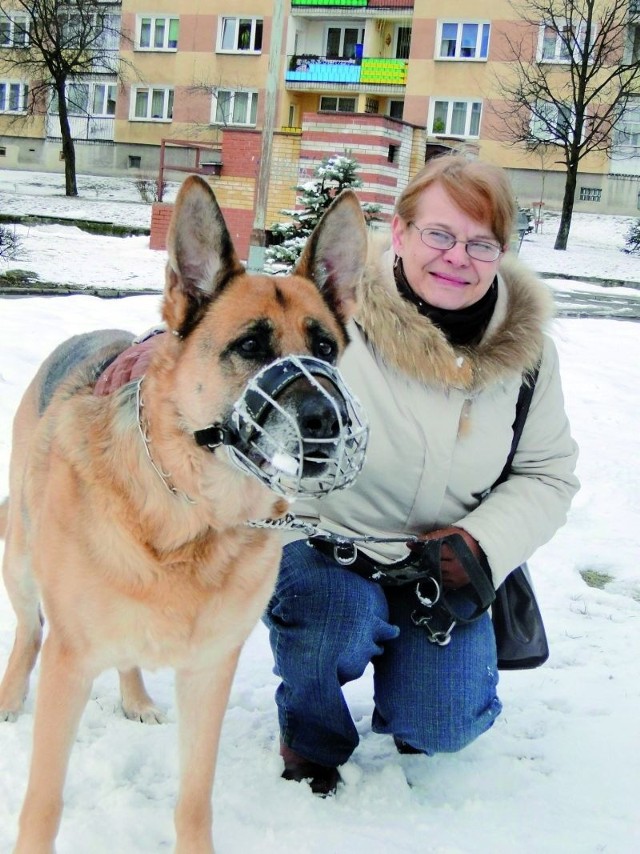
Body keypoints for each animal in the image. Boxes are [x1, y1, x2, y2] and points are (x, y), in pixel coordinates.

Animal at [0, 177, 364, 852]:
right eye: (250, 346)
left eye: (325, 347)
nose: (329, 422)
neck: (192, 513)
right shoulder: (70, 665)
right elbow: (43, 802)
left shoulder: (208, 672)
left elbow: (194, 797)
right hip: (21, 555)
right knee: (29, 629)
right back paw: (11, 694)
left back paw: (136, 696)